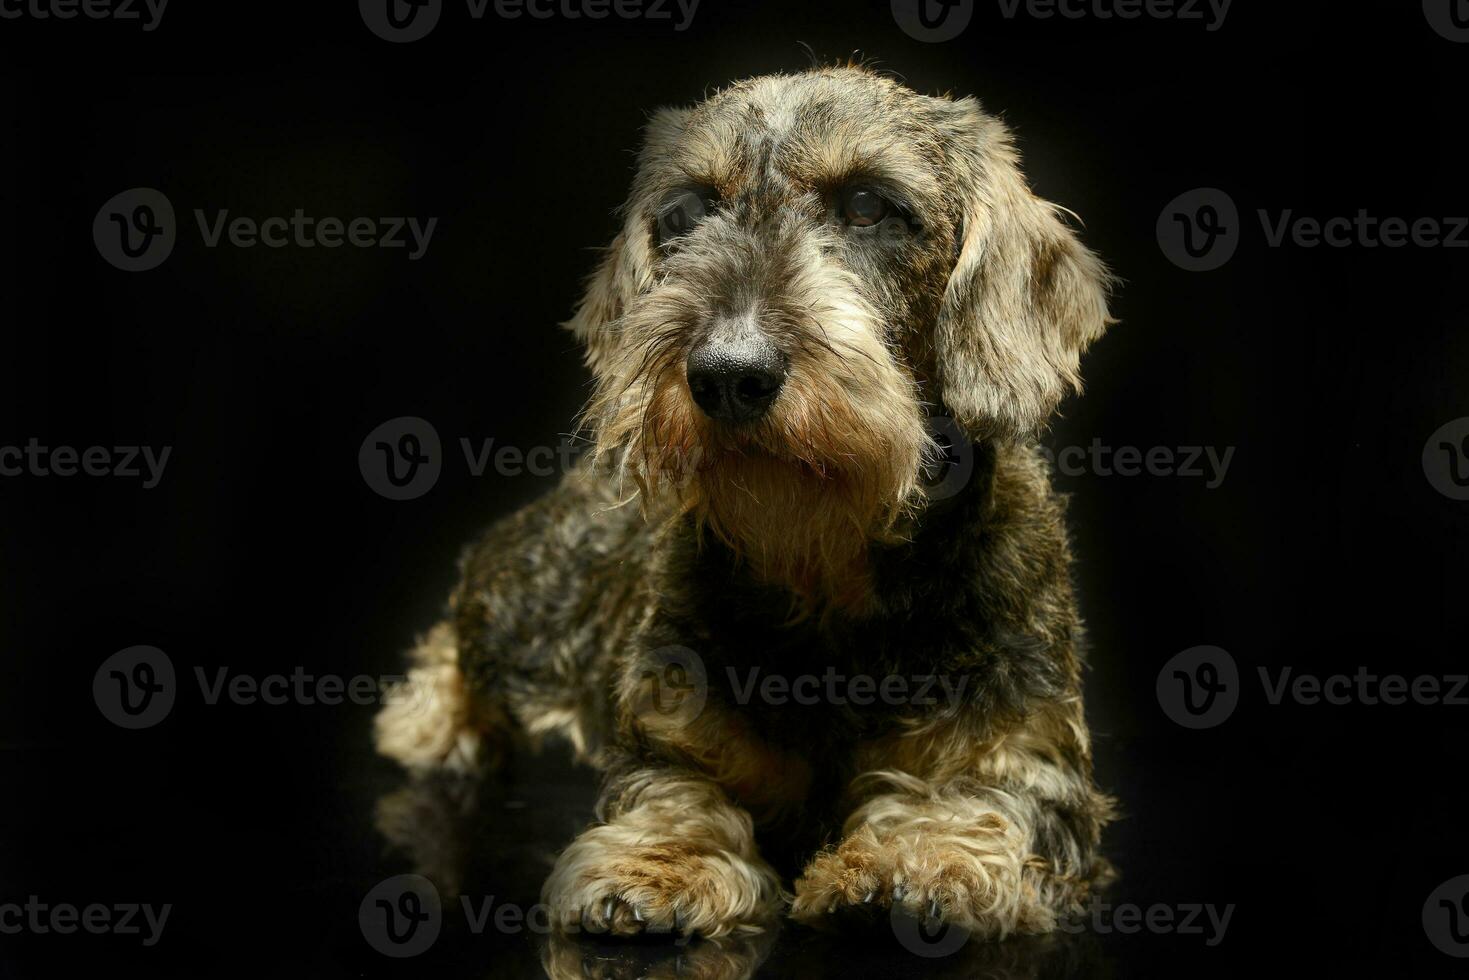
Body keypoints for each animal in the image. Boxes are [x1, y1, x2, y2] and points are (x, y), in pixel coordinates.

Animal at [373, 65, 1116, 946]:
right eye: (686, 213)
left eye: (867, 204)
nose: (728, 374)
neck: (825, 565)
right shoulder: (671, 730)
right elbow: (674, 789)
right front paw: (660, 859)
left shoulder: (1034, 760)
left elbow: (982, 802)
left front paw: (916, 858)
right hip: (522, 609)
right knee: (456, 647)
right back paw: (431, 717)